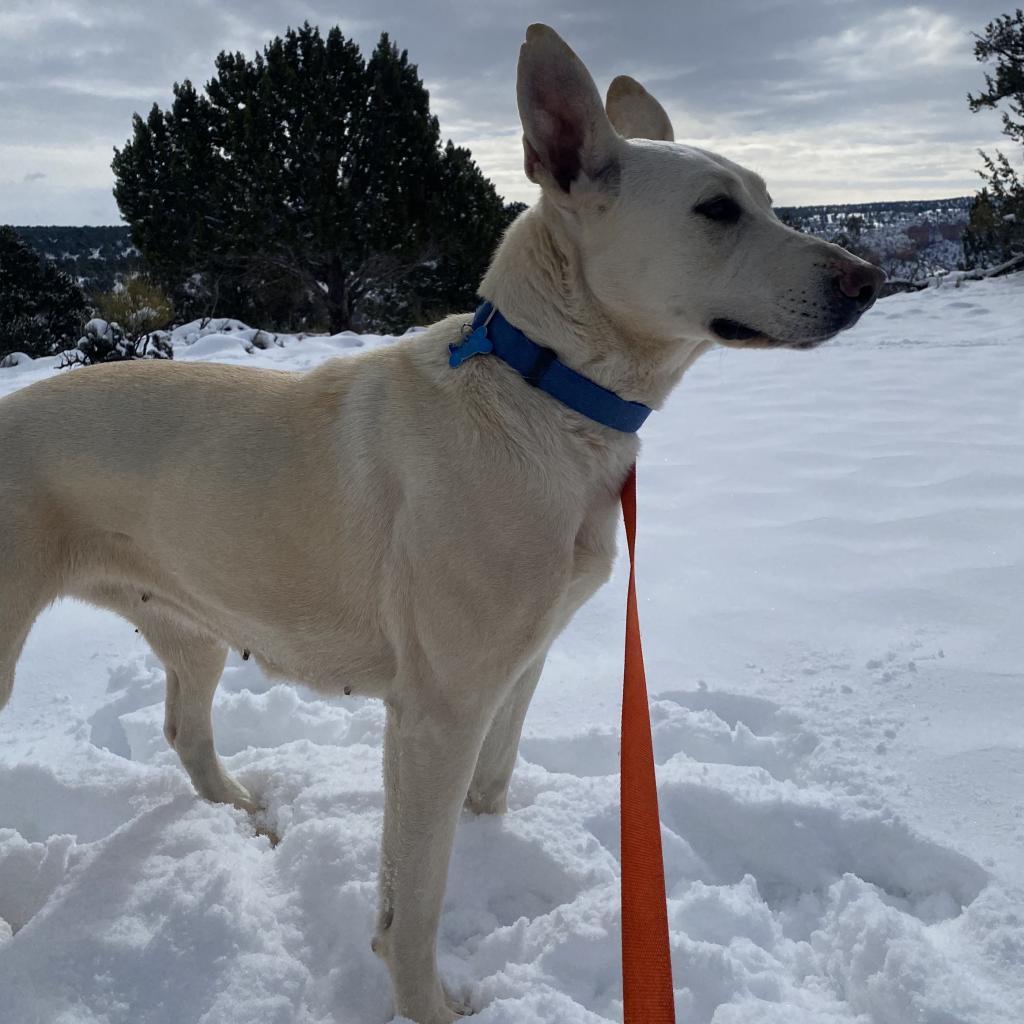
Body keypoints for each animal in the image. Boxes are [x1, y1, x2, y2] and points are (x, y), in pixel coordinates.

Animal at [0, 24, 880, 1024]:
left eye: (767, 198)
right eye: (717, 210)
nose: (870, 280)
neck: (545, 388)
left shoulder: (520, 665)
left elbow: (488, 793)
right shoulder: (436, 711)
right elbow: (414, 898)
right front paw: (430, 1003)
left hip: (196, 627)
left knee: (186, 730)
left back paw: (242, 814)